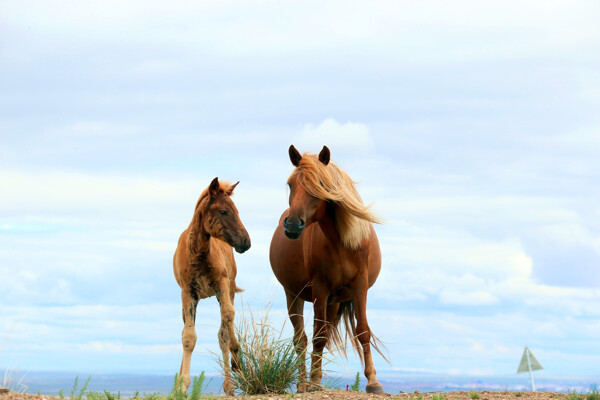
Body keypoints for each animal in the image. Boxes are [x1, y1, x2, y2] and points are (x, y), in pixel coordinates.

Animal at [173, 177, 251, 394]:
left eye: (237, 210)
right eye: (223, 211)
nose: (246, 242)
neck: (198, 254)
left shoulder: (221, 284)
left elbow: (227, 319)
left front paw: (237, 358)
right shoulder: (188, 292)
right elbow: (188, 337)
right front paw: (182, 385)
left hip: (228, 289)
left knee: (223, 332)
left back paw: (230, 383)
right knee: (185, 330)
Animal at [270, 146, 386, 394]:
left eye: (321, 185)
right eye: (290, 184)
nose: (292, 225)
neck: (342, 244)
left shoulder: (360, 286)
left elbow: (363, 331)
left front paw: (373, 382)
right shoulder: (320, 288)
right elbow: (318, 337)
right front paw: (314, 382)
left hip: (333, 301)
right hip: (294, 295)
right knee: (301, 339)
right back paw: (304, 383)